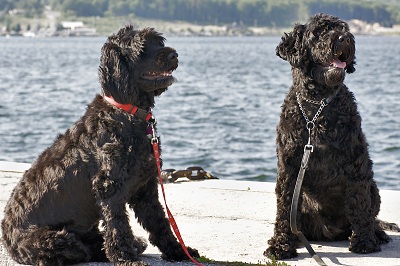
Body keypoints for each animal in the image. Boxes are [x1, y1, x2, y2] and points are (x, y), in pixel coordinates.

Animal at [0, 25, 199, 266]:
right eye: (141, 47)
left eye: (159, 42)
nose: (173, 55)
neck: (126, 112)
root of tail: (7, 239)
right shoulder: (108, 186)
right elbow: (118, 226)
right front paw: (125, 258)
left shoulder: (146, 187)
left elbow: (160, 222)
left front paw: (178, 251)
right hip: (57, 239)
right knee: (82, 249)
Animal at [264, 14, 398, 260]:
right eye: (318, 32)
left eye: (344, 28)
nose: (344, 38)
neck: (318, 107)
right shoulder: (288, 166)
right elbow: (284, 208)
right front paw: (280, 245)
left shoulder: (356, 161)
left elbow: (359, 204)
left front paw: (364, 242)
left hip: (374, 189)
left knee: (371, 215)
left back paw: (377, 234)